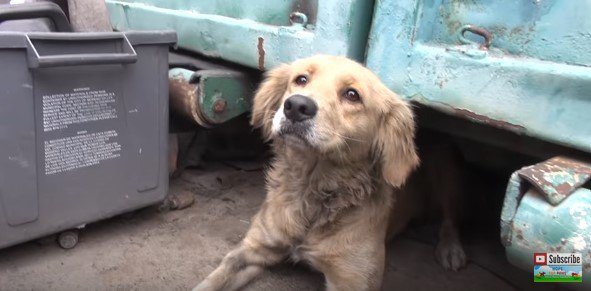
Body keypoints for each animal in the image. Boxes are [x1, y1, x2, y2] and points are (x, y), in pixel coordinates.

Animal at [194, 55, 468, 291]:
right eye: (301, 79)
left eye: (352, 94)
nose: (296, 106)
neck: (312, 190)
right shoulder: (252, 251)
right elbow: (209, 283)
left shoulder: (352, 282)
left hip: (447, 172)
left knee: (451, 219)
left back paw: (450, 249)